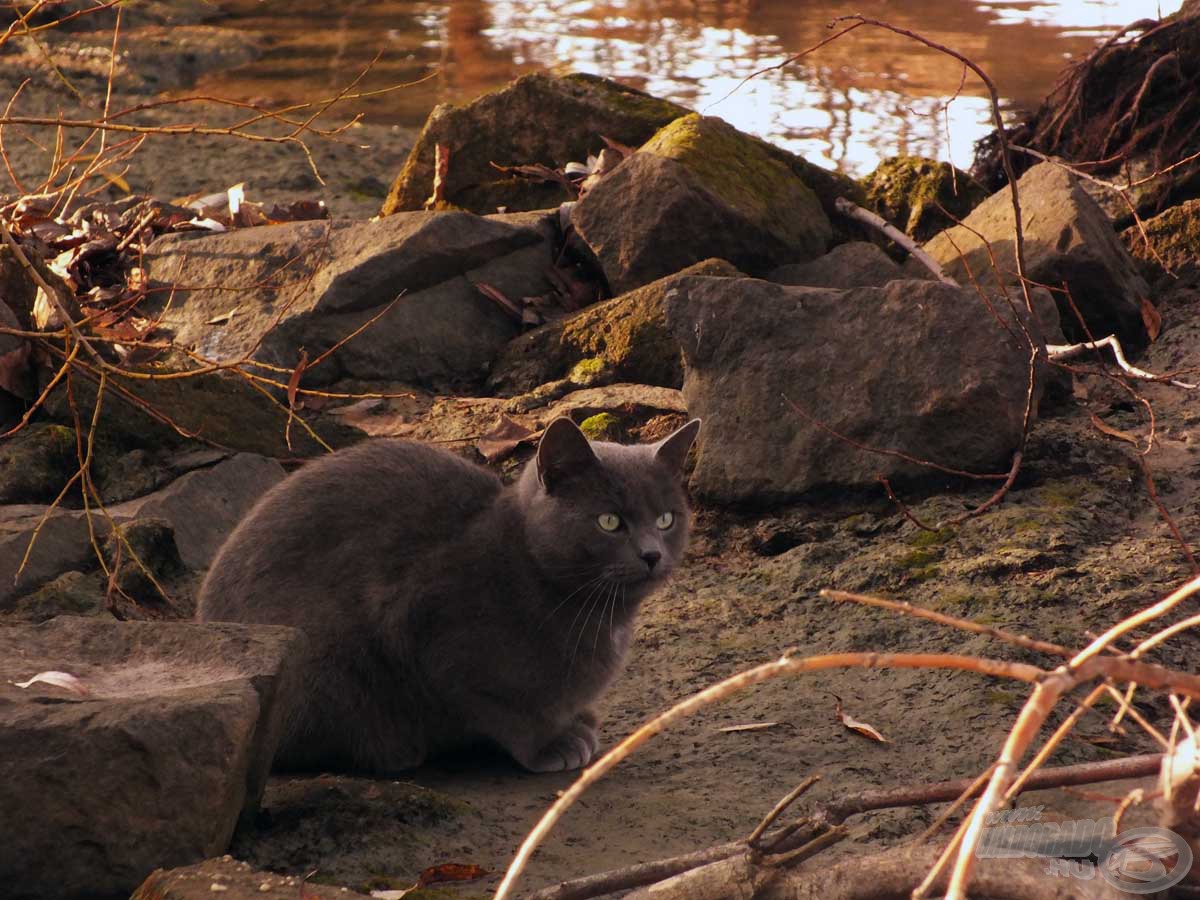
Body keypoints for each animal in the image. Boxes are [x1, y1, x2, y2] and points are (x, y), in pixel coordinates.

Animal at [198, 415, 700, 777]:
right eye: (609, 522)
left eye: (666, 519)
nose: (652, 554)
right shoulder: (428, 637)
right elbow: (503, 711)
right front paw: (553, 743)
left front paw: (579, 722)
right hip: (320, 655)